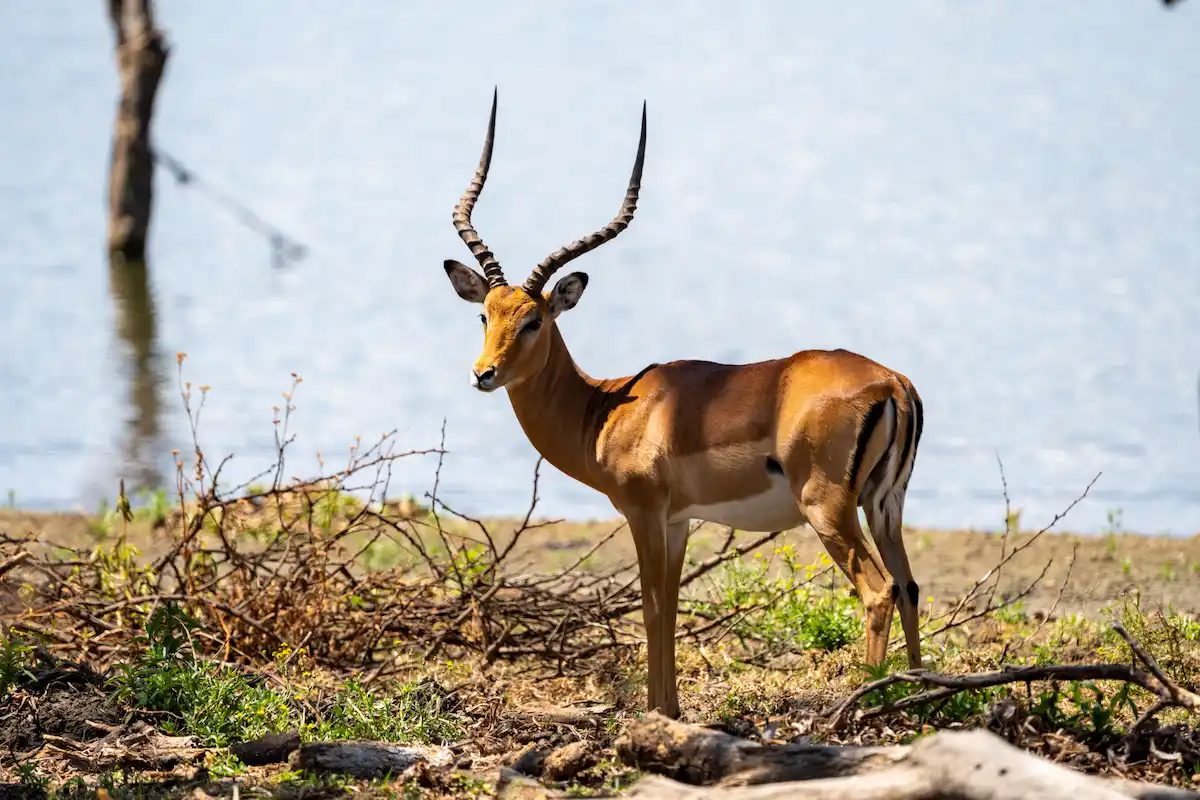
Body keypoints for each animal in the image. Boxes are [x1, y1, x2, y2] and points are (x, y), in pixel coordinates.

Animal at [440, 89, 925, 719]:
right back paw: (916, 697)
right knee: (909, 585)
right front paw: (668, 711)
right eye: (485, 315)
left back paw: (865, 700)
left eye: (533, 320)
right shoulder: (679, 521)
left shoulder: (644, 512)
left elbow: (651, 611)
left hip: (828, 510)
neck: (607, 408)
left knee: (878, 589)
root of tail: (892, 382)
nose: (484, 374)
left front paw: (654, 713)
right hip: (883, 505)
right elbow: (668, 610)